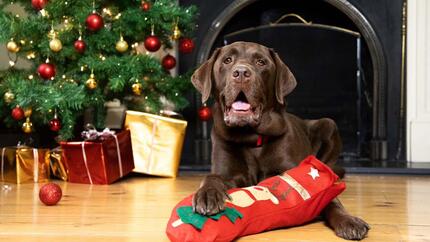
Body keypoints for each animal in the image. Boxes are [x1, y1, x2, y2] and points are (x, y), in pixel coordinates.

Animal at [191, 41, 370, 240]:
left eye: (261, 62)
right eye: (227, 60)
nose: (241, 73)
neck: (251, 138)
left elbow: (330, 198)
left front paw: (348, 220)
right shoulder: (227, 172)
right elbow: (212, 177)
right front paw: (208, 194)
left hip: (328, 124)